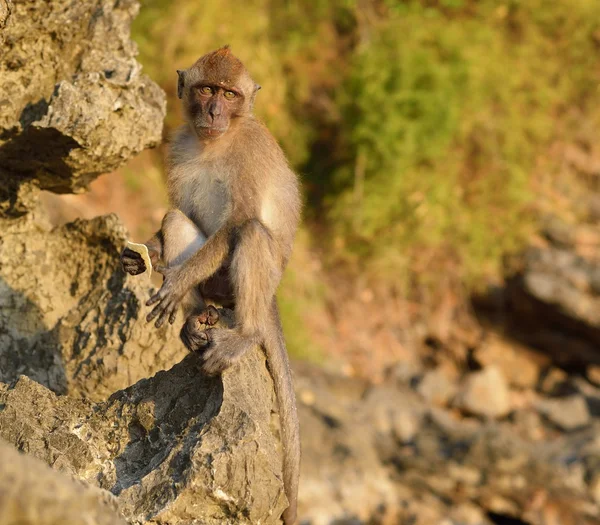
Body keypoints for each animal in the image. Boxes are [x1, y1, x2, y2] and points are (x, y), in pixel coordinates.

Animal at [120, 46, 302, 524]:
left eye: (229, 94)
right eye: (206, 90)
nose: (215, 111)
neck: (214, 143)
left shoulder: (250, 154)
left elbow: (237, 223)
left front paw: (177, 278)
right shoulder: (180, 144)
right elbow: (178, 214)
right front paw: (144, 254)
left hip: (248, 291)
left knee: (252, 232)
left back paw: (245, 333)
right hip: (217, 289)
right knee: (176, 218)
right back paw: (196, 319)